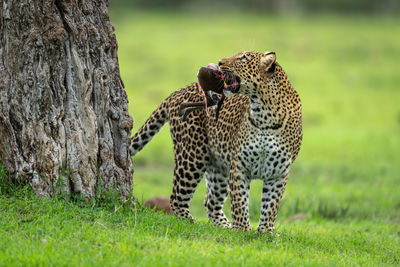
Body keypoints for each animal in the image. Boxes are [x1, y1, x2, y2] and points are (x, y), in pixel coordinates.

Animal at [130, 50, 302, 234]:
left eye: (243, 58)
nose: (219, 62)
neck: (264, 114)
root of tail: (176, 92)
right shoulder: (239, 165)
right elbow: (239, 200)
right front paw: (242, 229)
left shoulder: (279, 172)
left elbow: (271, 205)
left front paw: (265, 232)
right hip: (192, 155)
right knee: (177, 198)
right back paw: (192, 224)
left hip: (217, 167)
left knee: (210, 202)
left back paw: (225, 227)